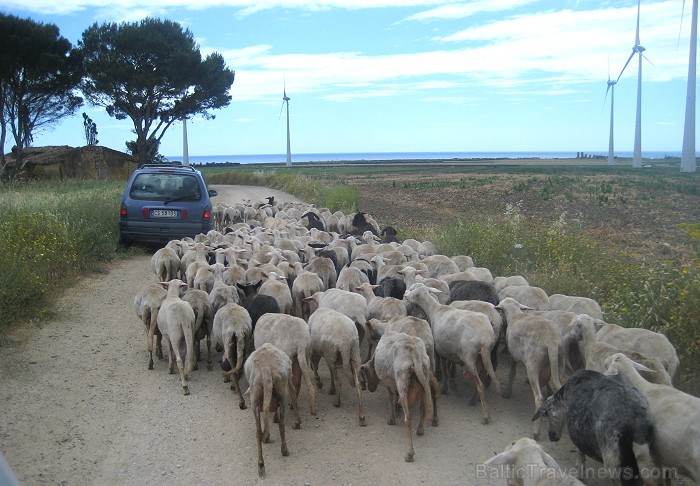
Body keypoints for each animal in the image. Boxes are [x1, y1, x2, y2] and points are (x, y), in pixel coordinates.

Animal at [243, 342, 300, 478]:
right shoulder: (289, 380)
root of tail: (266, 369)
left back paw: (261, 465)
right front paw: (297, 422)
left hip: (255, 394)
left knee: (258, 431)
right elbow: (294, 394)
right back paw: (285, 451)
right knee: (282, 425)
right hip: (282, 390)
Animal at [360, 332, 438, 462]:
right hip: (424, 378)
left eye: (365, 374)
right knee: (422, 409)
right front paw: (397, 408)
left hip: (402, 379)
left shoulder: (388, 381)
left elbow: (390, 397)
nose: (371, 389)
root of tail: (414, 351)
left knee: (408, 418)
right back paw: (420, 430)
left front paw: (391, 419)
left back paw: (409, 454)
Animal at [402, 282, 500, 424]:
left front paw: (445, 387)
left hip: (469, 356)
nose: (405, 295)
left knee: (480, 385)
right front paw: (451, 385)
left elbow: (445, 368)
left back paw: (486, 416)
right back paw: (474, 399)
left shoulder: (440, 349)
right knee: (482, 377)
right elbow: (448, 366)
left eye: (412, 289)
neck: (436, 310)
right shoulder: (449, 349)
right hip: (482, 356)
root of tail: (485, 339)